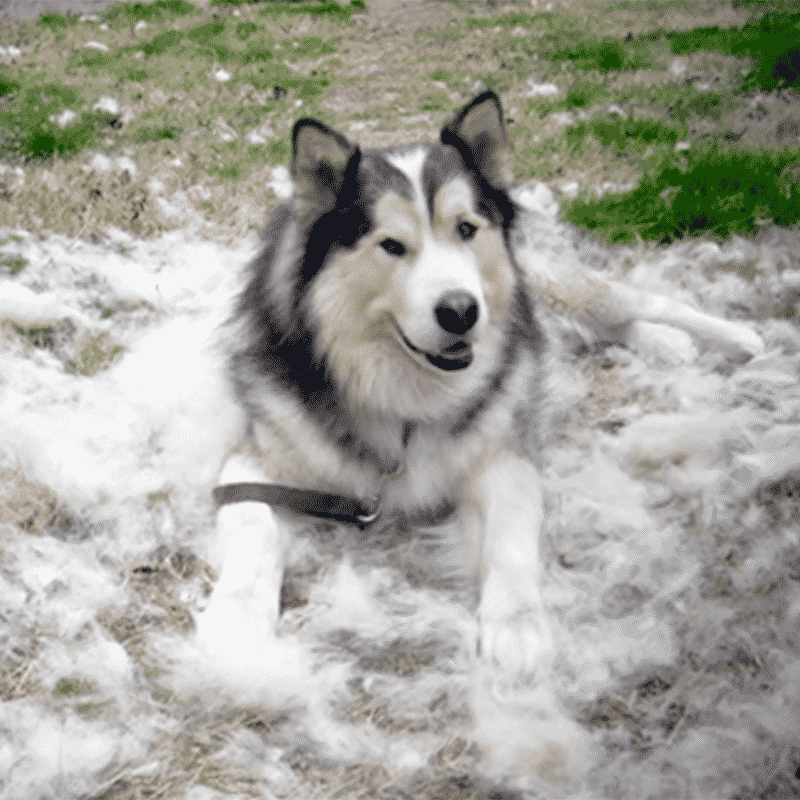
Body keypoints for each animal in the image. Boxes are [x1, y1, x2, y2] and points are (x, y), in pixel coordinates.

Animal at [197, 90, 552, 684]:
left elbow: (513, 532)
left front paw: (519, 624)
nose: (461, 311)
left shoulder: (501, 454)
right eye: (391, 245)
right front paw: (235, 620)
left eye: (466, 229)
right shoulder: (255, 461)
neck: (402, 394)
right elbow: (252, 523)